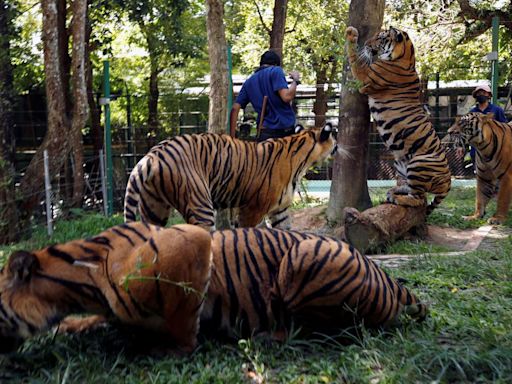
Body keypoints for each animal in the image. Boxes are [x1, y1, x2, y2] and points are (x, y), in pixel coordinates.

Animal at [124, 124, 338, 230]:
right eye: (334, 138)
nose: (338, 147)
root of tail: (152, 156)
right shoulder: (253, 209)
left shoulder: (281, 210)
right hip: (200, 205)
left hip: (154, 209)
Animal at [344, 26, 452, 213]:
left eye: (379, 38)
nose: (367, 43)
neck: (407, 57)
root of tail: (448, 183)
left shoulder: (366, 74)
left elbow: (355, 57)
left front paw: (351, 34)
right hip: (400, 164)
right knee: (412, 190)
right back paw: (394, 190)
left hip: (418, 163)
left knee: (418, 199)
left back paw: (396, 197)